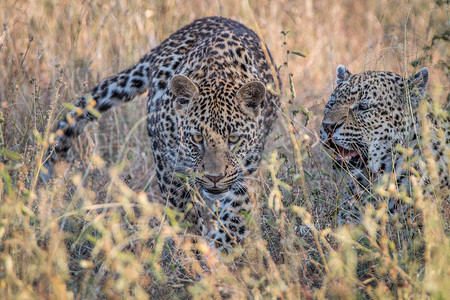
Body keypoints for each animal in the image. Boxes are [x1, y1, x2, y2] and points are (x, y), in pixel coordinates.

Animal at [42, 17, 282, 253]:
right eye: (197, 138)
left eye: (234, 139)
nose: (214, 178)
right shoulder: (169, 168)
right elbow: (184, 216)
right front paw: (193, 251)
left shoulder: (244, 173)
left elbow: (234, 220)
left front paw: (220, 255)